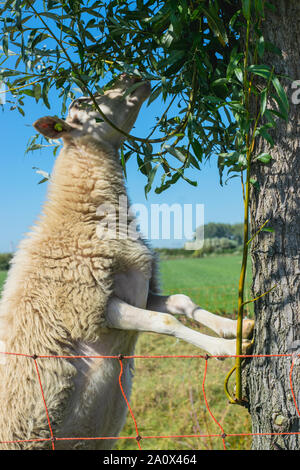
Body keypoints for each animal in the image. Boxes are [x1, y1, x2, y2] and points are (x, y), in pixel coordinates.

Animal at [0, 75, 253, 450]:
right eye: (84, 106)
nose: (131, 77)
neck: (80, 217)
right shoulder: (91, 306)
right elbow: (165, 323)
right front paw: (224, 348)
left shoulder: (140, 290)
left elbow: (182, 302)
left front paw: (235, 328)